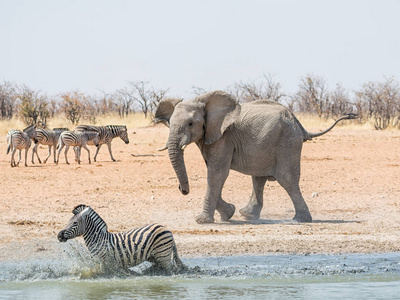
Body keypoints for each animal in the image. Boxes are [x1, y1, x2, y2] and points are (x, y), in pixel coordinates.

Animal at [57, 204, 186, 274]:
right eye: (68, 221)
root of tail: (166, 229)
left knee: (170, 270)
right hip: (154, 256)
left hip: (163, 255)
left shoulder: (105, 261)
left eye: (74, 223)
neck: (98, 239)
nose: (59, 235)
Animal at [155, 90, 354, 224]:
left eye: (191, 124)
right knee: (258, 178)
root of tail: (298, 123)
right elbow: (215, 174)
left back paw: (300, 220)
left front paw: (203, 220)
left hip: (287, 142)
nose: (183, 189)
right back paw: (247, 215)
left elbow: (217, 174)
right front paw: (229, 213)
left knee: (287, 179)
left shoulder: (223, 137)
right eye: (169, 123)